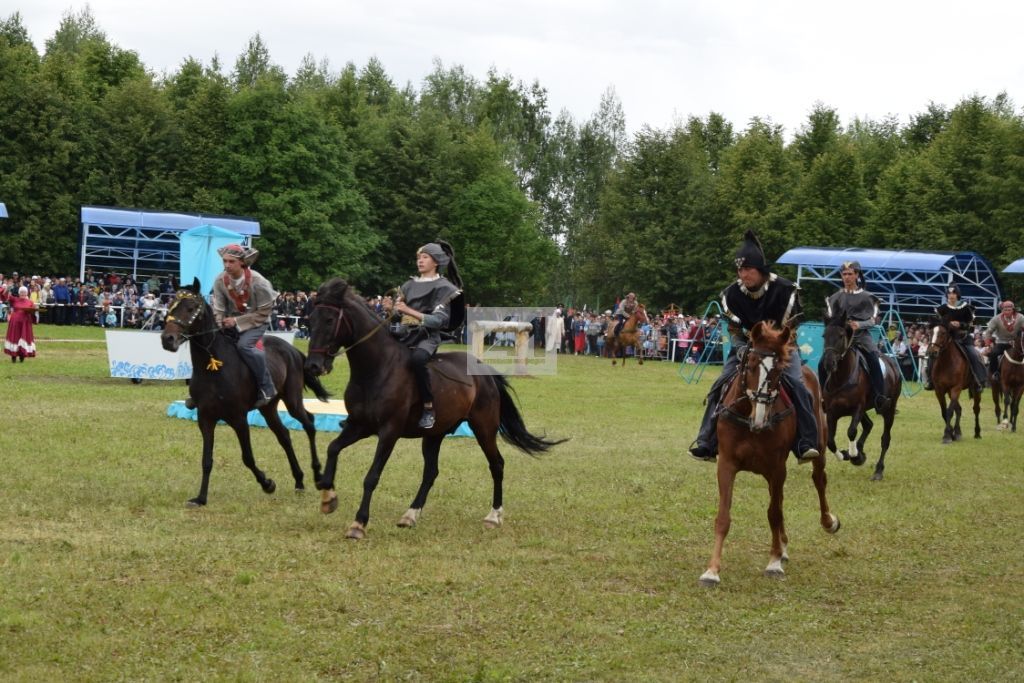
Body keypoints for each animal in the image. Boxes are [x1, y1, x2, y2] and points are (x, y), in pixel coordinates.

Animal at [159, 278, 329, 507]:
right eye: (170, 306)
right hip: (268, 408)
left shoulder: (238, 418)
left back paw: (317, 474)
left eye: (191, 308)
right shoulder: (205, 418)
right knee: (284, 435)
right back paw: (299, 480)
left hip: (292, 400)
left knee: (309, 423)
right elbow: (206, 460)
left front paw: (267, 483)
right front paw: (201, 498)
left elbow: (247, 457)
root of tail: (292, 350)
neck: (213, 366)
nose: (168, 339)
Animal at [301, 278, 569, 540]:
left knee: (497, 464)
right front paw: (328, 497)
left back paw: (493, 516)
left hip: (483, 428)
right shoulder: (359, 425)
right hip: (434, 434)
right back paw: (410, 515)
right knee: (431, 472)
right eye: (311, 319)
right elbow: (333, 448)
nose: (313, 366)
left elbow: (372, 476)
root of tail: (484, 371)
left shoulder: (388, 432)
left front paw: (358, 523)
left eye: (329, 320)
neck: (376, 369)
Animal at [704, 321, 839, 589]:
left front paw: (774, 562)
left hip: (816, 449)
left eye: (778, 373)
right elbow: (724, 517)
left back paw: (828, 522)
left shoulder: (777, 467)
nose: (760, 417)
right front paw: (712, 570)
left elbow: (773, 513)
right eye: (751, 365)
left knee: (819, 481)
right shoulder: (727, 464)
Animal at [819, 309, 901, 481]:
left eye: (841, 335)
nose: (829, 363)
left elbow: (851, 431)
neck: (841, 378)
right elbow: (830, 441)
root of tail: (892, 364)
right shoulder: (832, 412)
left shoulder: (857, 408)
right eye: (824, 335)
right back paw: (860, 450)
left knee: (885, 439)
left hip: (888, 409)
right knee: (869, 425)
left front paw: (855, 456)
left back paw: (878, 470)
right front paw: (848, 455)